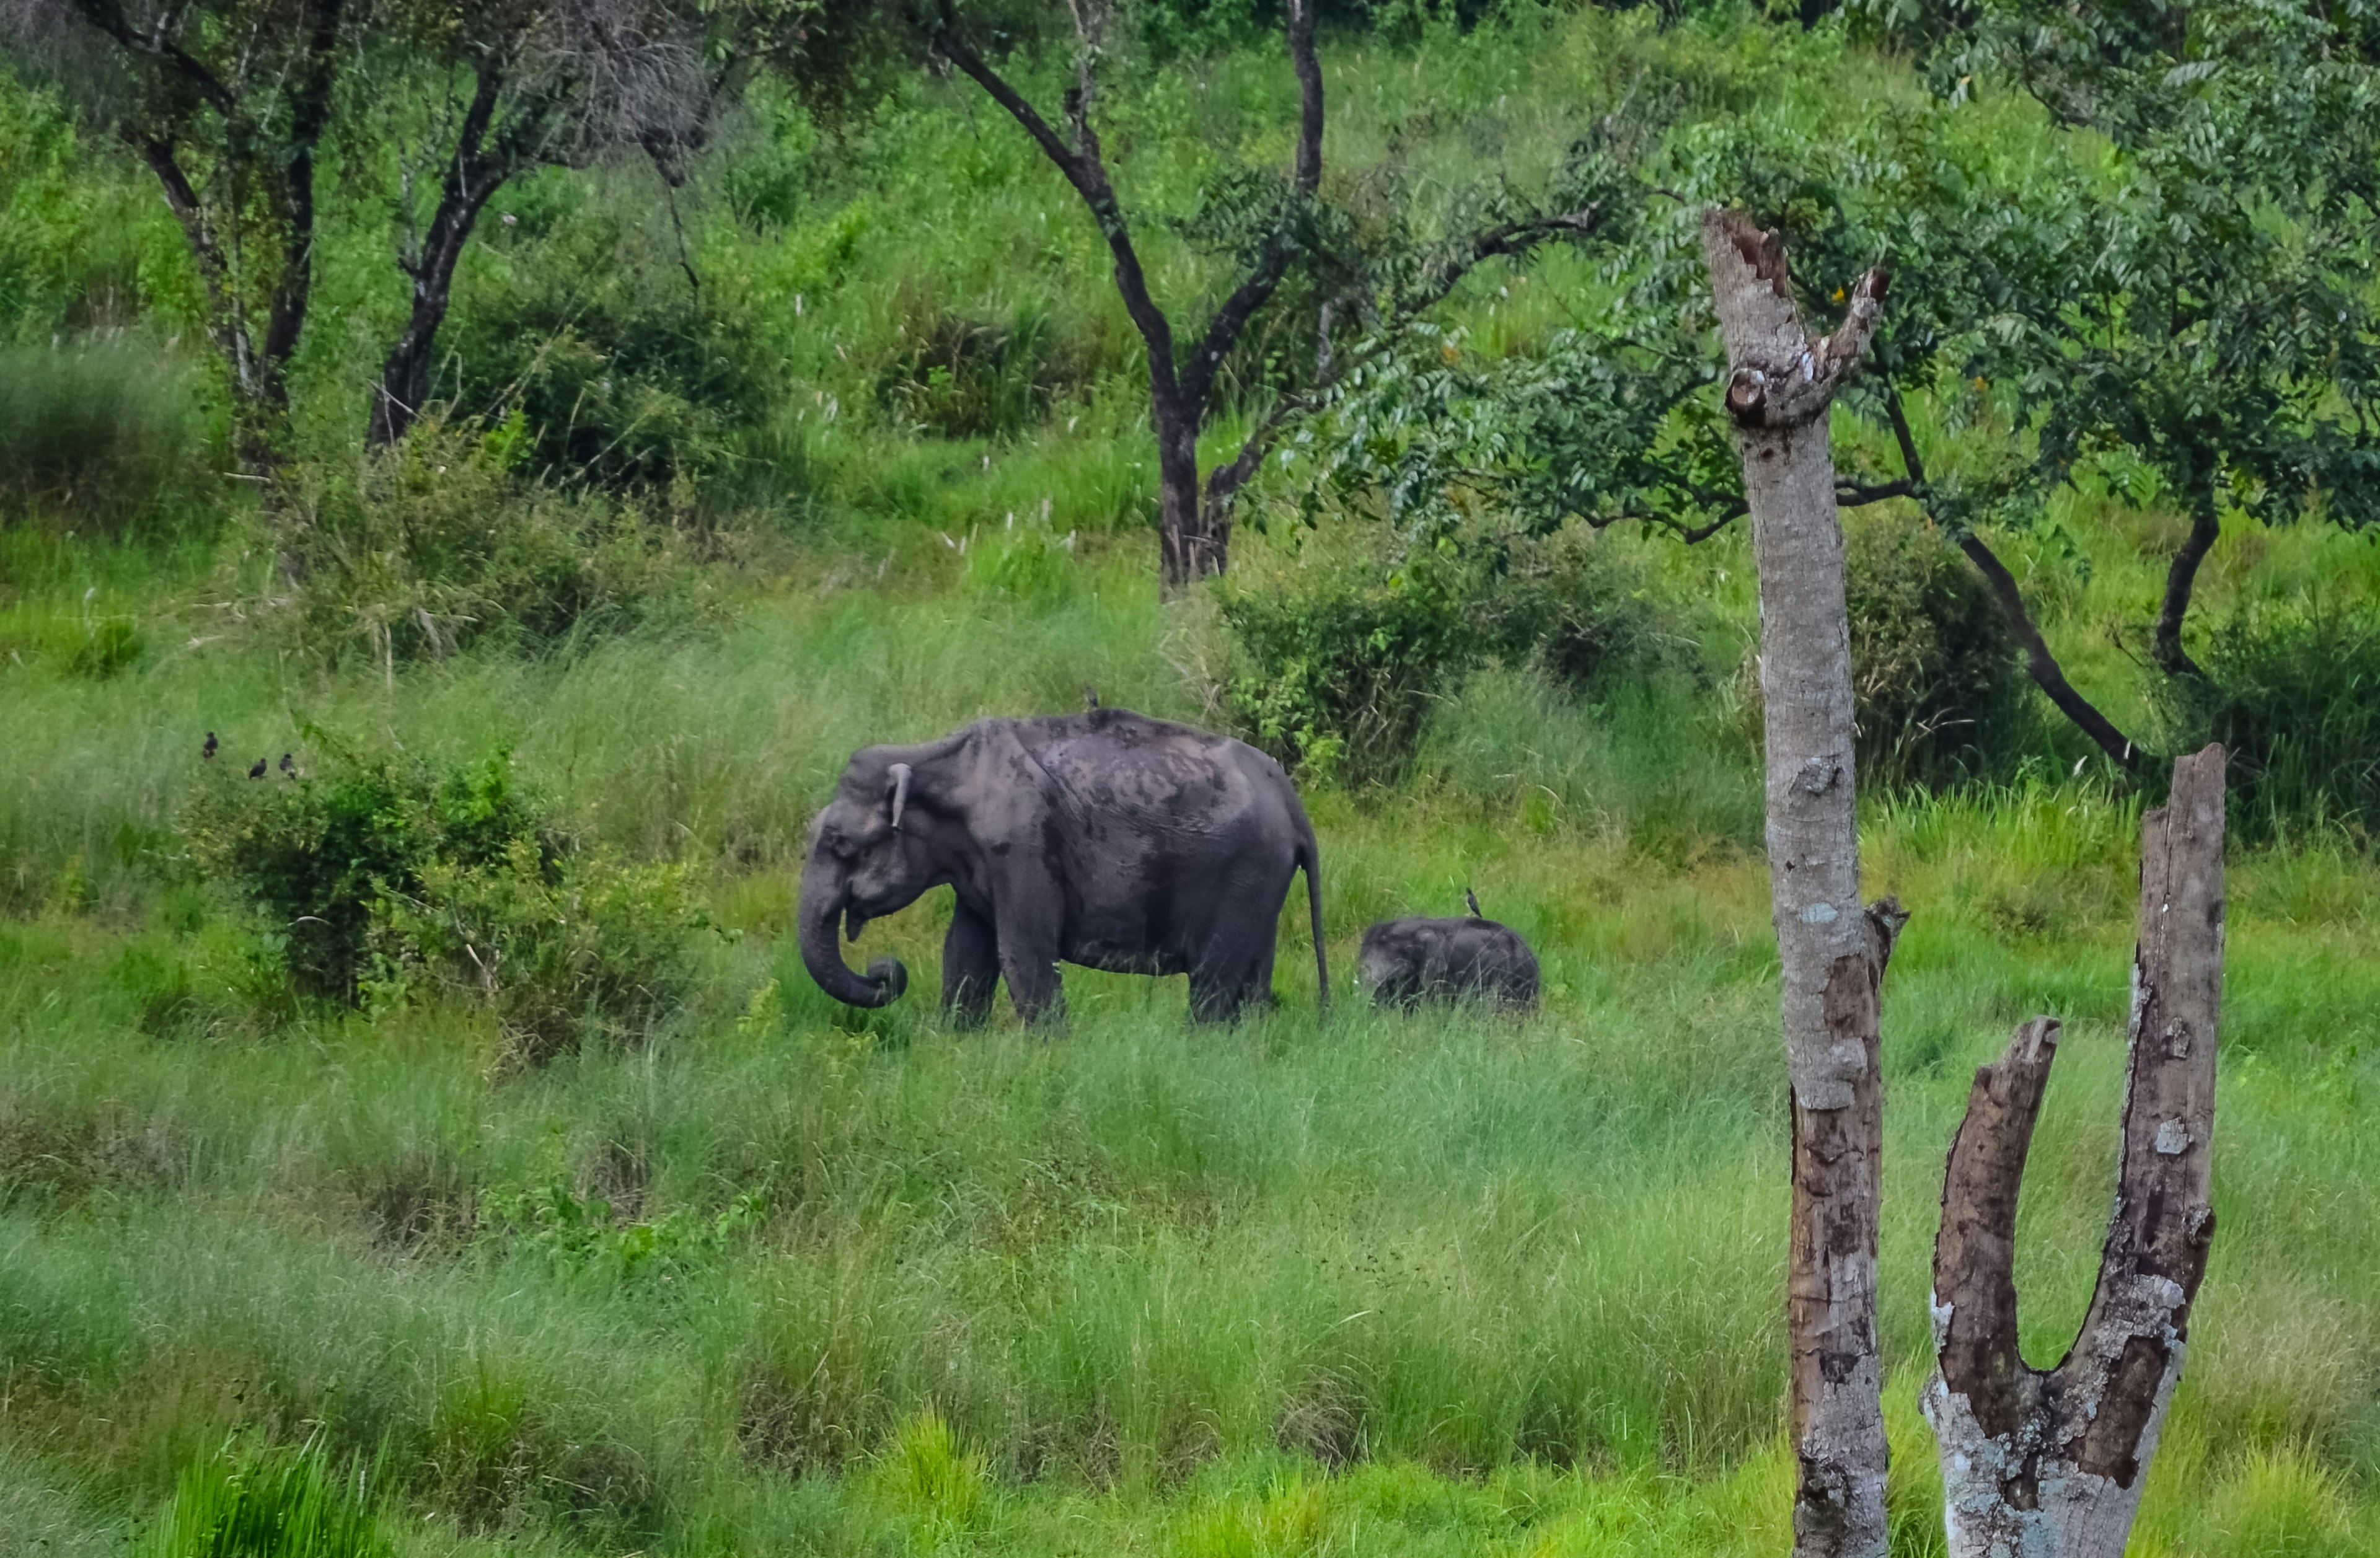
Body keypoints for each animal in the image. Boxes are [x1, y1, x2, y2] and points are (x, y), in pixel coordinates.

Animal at [795, 708, 1323, 1023]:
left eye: (843, 844)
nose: (884, 971)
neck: (938, 759)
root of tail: (1291, 799)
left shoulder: (1023, 846)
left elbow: (1022, 953)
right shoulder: (980, 864)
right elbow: (964, 954)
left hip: (1244, 875)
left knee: (1213, 985)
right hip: (1261, 886)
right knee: (1252, 983)